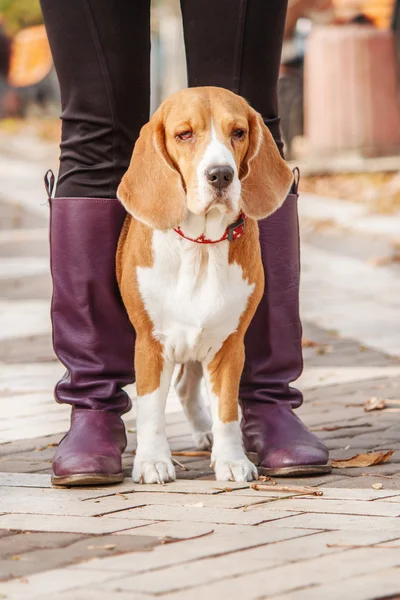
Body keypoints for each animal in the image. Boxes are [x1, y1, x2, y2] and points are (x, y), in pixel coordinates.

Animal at [117, 86, 292, 486]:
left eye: (238, 132)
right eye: (184, 134)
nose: (221, 175)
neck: (201, 247)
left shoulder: (229, 345)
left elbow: (227, 410)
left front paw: (231, 459)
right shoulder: (150, 345)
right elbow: (151, 411)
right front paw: (152, 461)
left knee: (186, 386)